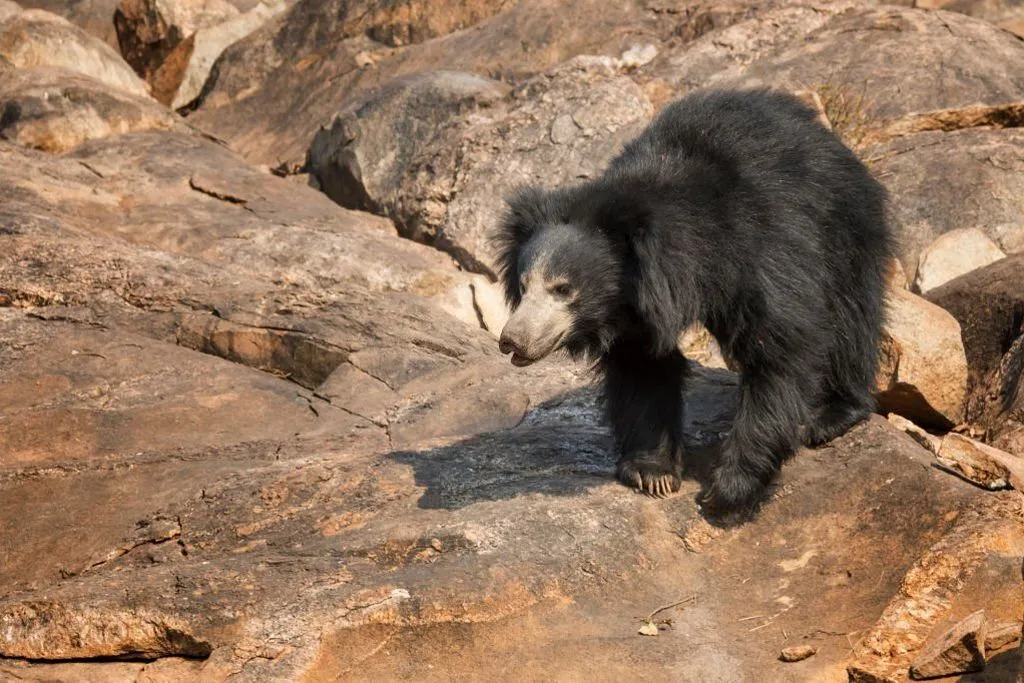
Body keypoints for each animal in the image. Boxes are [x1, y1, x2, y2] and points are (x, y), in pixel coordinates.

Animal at [493, 88, 888, 511]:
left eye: (563, 288)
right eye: (524, 285)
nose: (512, 340)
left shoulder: (765, 248)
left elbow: (780, 348)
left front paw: (728, 489)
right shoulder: (633, 307)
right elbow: (643, 366)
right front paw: (653, 474)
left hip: (844, 225)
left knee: (851, 315)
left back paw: (833, 414)